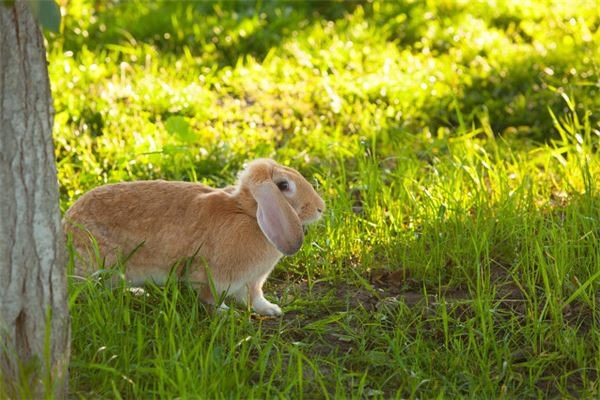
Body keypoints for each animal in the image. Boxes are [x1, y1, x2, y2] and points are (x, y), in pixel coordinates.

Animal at [63, 157, 326, 316]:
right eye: (283, 185)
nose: (320, 208)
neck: (248, 213)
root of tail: (66, 227)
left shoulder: (253, 280)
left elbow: (255, 297)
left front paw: (272, 310)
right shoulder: (212, 276)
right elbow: (210, 298)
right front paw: (226, 313)